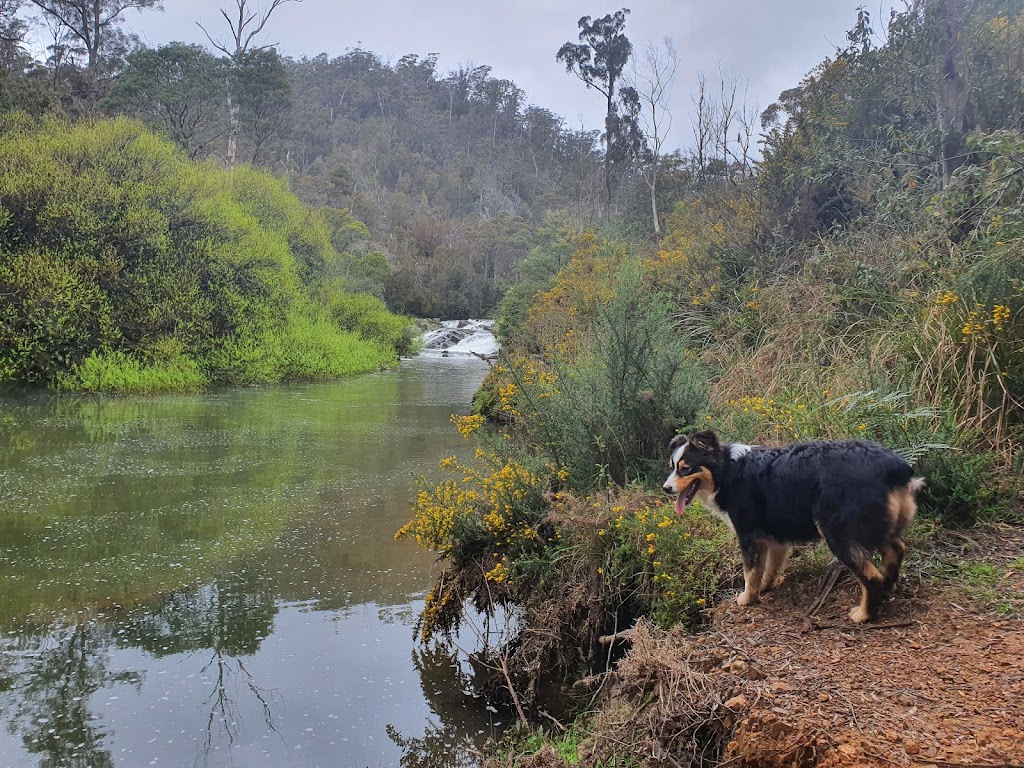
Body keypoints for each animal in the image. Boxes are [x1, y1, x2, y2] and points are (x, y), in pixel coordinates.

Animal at [667, 430, 925, 622]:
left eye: (686, 468)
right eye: (672, 466)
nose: (665, 488)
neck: (727, 471)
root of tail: (895, 466)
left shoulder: (749, 535)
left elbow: (750, 572)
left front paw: (747, 598)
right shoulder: (774, 537)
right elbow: (768, 568)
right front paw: (765, 588)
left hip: (837, 532)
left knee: (872, 577)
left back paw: (864, 614)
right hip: (875, 526)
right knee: (897, 549)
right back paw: (888, 587)